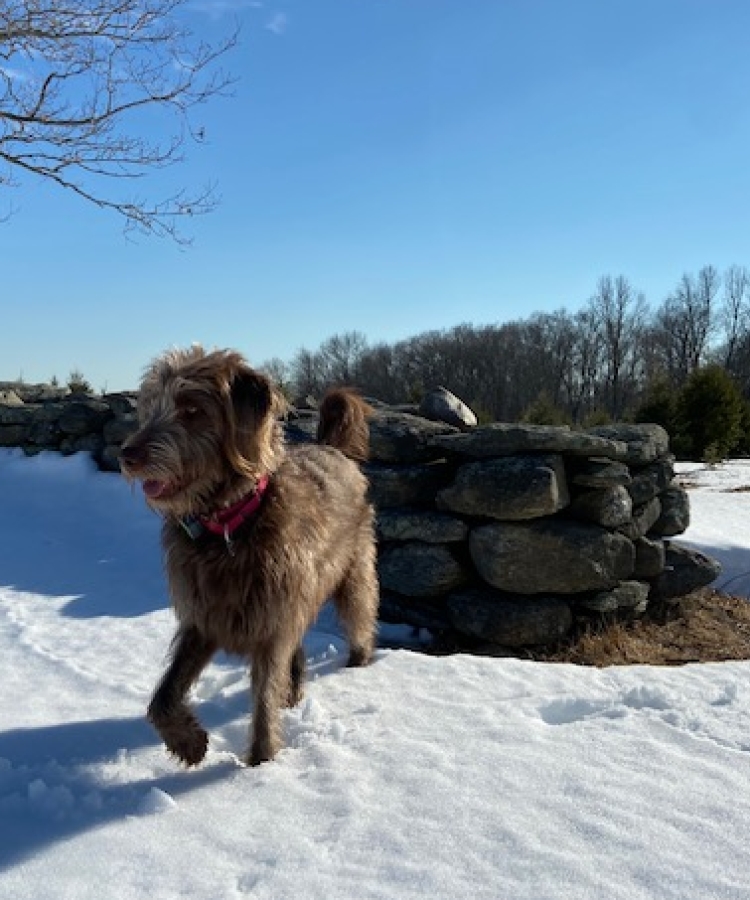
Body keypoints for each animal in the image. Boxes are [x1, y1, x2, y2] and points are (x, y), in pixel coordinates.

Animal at [120, 346, 378, 768]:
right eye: (152, 405)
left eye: (192, 409)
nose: (127, 455)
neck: (227, 526)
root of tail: (331, 447)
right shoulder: (205, 616)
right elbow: (163, 696)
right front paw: (188, 742)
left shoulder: (270, 623)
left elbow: (263, 700)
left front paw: (260, 764)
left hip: (352, 572)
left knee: (359, 618)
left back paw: (358, 665)